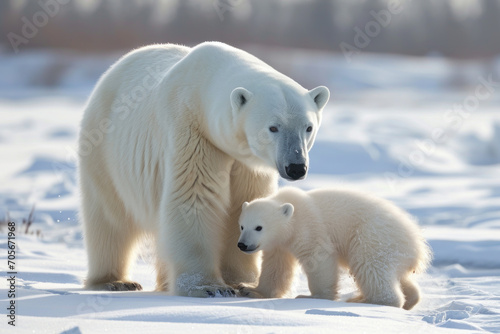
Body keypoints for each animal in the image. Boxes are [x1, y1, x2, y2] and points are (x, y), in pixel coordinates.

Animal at [80, 42, 330, 298]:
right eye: (273, 127)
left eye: (308, 127)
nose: (296, 167)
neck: (202, 93)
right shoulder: (192, 132)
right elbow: (194, 198)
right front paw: (208, 287)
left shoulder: (247, 163)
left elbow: (244, 201)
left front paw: (242, 282)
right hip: (104, 151)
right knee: (110, 219)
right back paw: (115, 281)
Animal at [236, 187, 432, 310]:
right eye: (242, 226)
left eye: (259, 227)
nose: (242, 245)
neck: (292, 213)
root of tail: (417, 246)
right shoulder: (279, 245)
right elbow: (275, 267)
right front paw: (250, 289)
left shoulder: (309, 228)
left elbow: (319, 258)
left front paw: (312, 297)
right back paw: (408, 298)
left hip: (374, 237)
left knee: (370, 267)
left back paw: (364, 301)